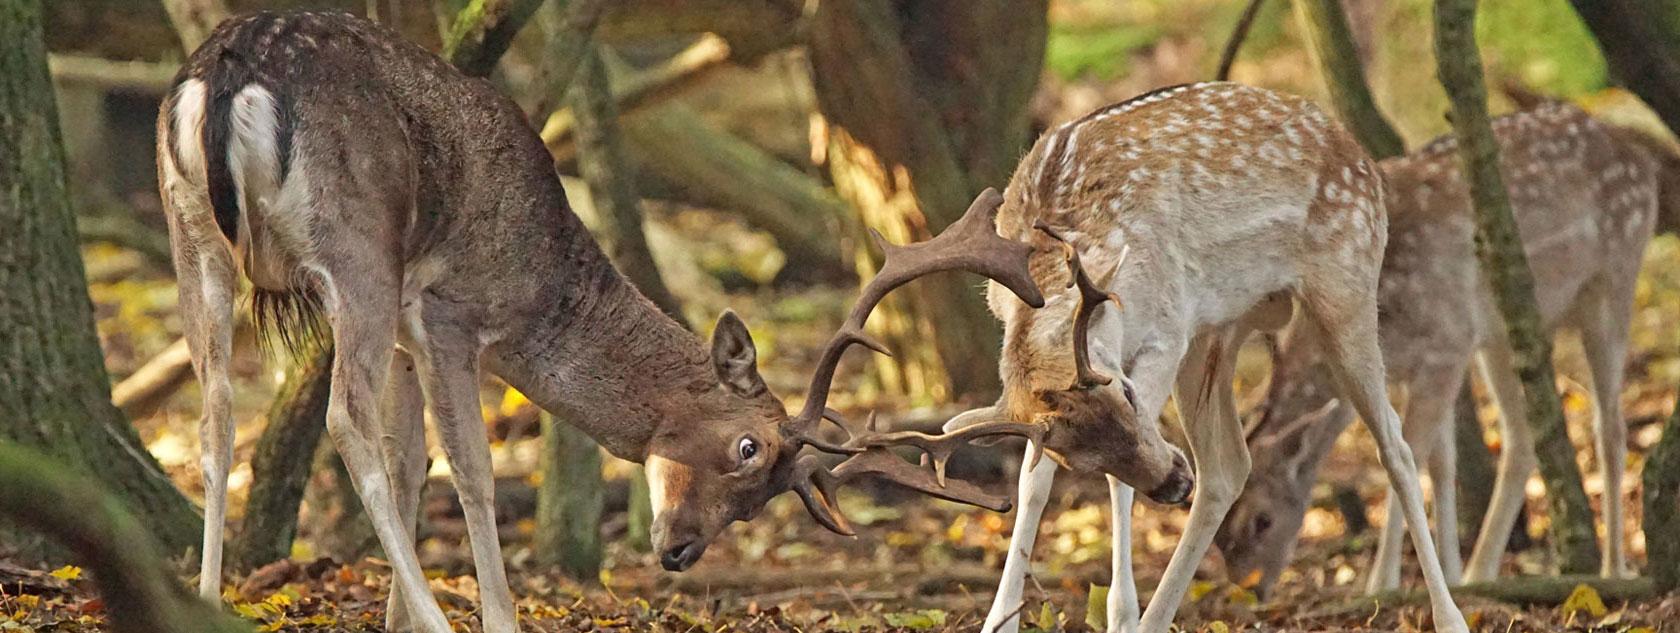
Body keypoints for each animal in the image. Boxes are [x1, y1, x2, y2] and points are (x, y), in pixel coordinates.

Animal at [157, 9, 1048, 631]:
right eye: (748, 447)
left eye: (765, 496)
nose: (681, 551)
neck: (544, 279)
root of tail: (226, 75)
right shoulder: (447, 313)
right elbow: (469, 469)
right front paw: (492, 614)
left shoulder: (414, 336)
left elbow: (412, 462)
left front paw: (397, 618)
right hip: (357, 250)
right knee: (340, 418)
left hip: (192, 233)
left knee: (215, 417)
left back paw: (203, 597)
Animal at [940, 82, 1464, 631]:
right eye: (1075, 454)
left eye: (1126, 392)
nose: (1173, 482)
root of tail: (1361, 154)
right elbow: (1032, 481)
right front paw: (999, 619)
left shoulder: (1166, 331)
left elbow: (1117, 484)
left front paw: (1120, 615)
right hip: (1218, 331)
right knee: (1227, 466)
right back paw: (1157, 616)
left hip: (1347, 284)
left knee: (1396, 447)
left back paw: (1450, 616)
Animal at [1216, 101, 1673, 594]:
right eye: (1219, 534)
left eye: (1261, 520)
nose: (1252, 589)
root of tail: (1640, 158)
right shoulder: (1432, 360)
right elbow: (1442, 462)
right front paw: (1451, 574)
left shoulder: (1447, 343)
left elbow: (1410, 459)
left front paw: (1382, 584)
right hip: (1501, 335)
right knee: (1522, 435)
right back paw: (1481, 571)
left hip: (1614, 280)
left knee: (1610, 426)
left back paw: (1613, 567)